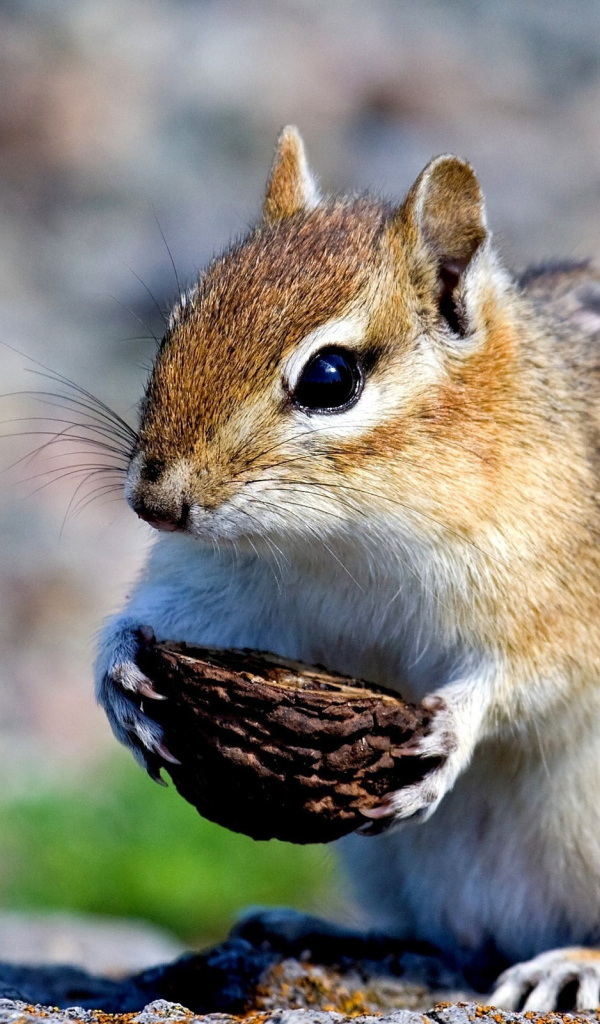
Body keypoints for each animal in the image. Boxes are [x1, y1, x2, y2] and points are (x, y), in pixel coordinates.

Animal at [95, 126, 600, 1012]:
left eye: (331, 378)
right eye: (176, 323)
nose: (153, 502)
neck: (342, 540)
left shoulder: (556, 591)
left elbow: (530, 674)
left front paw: (452, 732)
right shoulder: (225, 588)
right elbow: (152, 618)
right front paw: (121, 675)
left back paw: (570, 962)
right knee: (439, 940)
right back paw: (318, 931)